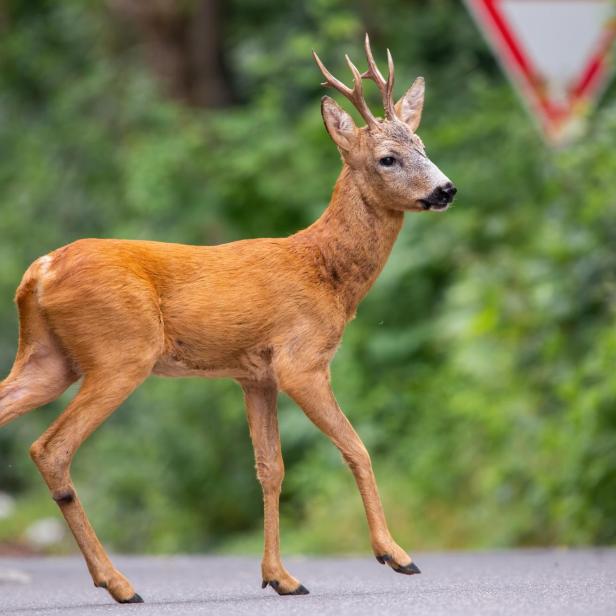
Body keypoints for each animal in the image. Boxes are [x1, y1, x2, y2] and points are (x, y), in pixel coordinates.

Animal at [0, 35, 452, 600]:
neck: (325, 271)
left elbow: (270, 467)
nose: (446, 189)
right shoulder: (301, 362)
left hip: (47, 359)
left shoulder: (254, 374)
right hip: (121, 352)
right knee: (52, 448)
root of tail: (41, 269)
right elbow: (357, 448)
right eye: (388, 158)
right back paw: (120, 583)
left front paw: (280, 577)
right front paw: (394, 554)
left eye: (424, 146)